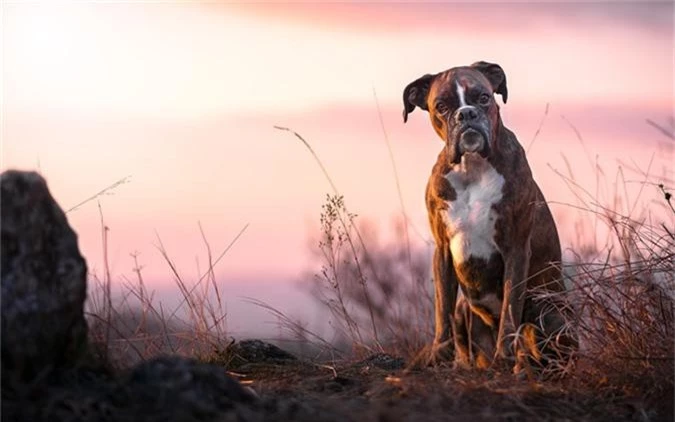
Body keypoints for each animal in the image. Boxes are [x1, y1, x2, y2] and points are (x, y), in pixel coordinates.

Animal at [404, 61, 580, 372]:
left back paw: (523, 365)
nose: (466, 114)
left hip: (547, 310)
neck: (472, 168)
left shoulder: (516, 250)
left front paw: (505, 356)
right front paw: (439, 355)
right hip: (465, 309)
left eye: (483, 97)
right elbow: (442, 308)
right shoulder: (443, 251)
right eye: (441, 106)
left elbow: (510, 308)